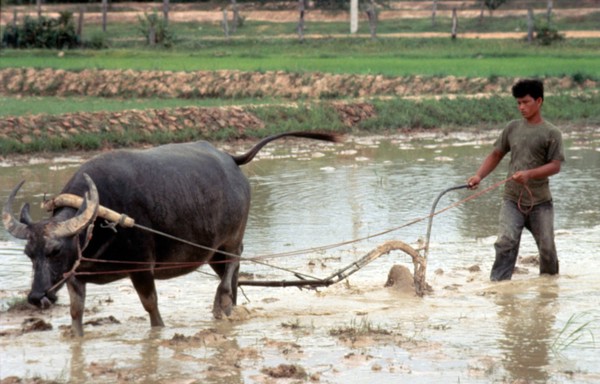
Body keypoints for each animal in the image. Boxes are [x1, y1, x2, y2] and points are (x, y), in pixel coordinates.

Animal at [3, 132, 338, 336]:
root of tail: (231, 159)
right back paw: (227, 306)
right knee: (233, 273)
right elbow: (75, 313)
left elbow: (151, 306)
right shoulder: (75, 275)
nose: (36, 297)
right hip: (211, 249)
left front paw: (159, 329)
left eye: (55, 251)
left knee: (233, 265)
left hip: (231, 239)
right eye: (29, 254)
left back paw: (222, 304)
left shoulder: (141, 268)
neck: (100, 221)